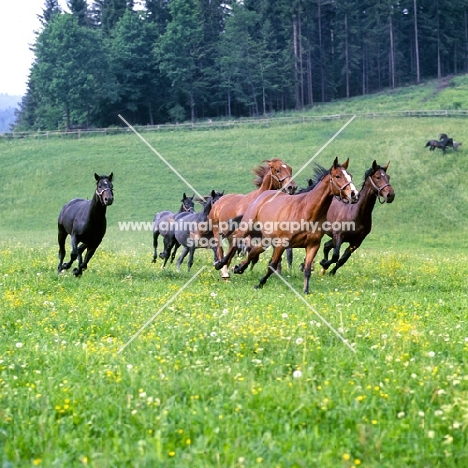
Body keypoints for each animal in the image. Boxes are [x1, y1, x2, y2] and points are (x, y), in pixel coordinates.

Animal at [215, 159, 358, 294]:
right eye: (338, 176)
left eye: (350, 175)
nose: (354, 194)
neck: (307, 211)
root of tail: (263, 195)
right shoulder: (282, 243)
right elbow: (272, 265)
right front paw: (259, 284)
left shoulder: (313, 245)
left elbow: (307, 269)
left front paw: (306, 290)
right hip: (247, 227)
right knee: (236, 241)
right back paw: (220, 264)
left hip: (266, 239)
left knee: (253, 251)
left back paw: (239, 268)